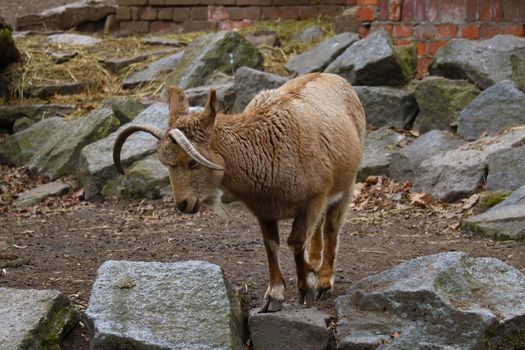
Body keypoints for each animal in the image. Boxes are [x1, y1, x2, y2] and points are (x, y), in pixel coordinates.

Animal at [111, 72, 364, 314]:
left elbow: (295, 241)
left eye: (192, 162)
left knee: (330, 228)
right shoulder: (264, 211)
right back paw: (313, 264)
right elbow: (271, 245)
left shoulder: (312, 200)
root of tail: (336, 79)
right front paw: (274, 297)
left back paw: (323, 282)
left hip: (346, 185)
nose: (183, 204)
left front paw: (305, 289)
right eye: (166, 164)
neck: (267, 149)